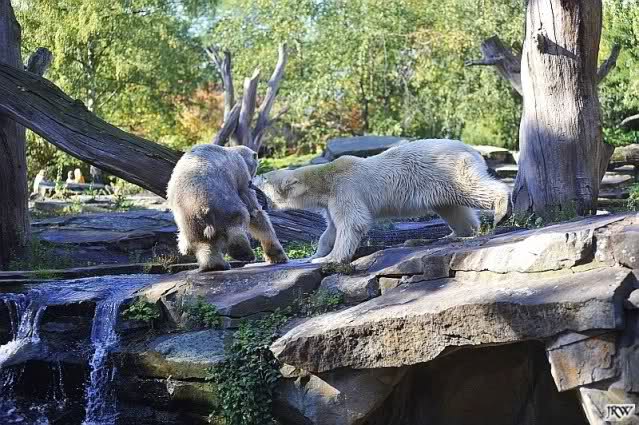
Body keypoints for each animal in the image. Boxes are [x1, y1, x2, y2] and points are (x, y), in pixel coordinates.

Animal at [256, 138, 511, 264]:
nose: (254, 181)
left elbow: (352, 222)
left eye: (264, 178)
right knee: (451, 208)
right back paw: (452, 234)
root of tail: (471, 149)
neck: (325, 180)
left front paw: (330, 258)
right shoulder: (331, 201)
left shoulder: (345, 189)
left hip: (447, 169)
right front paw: (314, 255)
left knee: (471, 189)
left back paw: (501, 210)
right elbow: (331, 229)